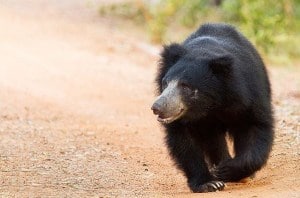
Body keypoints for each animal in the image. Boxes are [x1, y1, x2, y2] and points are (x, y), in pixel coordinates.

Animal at [151, 22, 274, 192]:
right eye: (165, 83)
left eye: (186, 87)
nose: (157, 107)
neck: (209, 106)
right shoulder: (184, 121)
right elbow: (185, 142)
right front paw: (210, 183)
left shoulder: (248, 94)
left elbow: (256, 127)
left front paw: (226, 170)